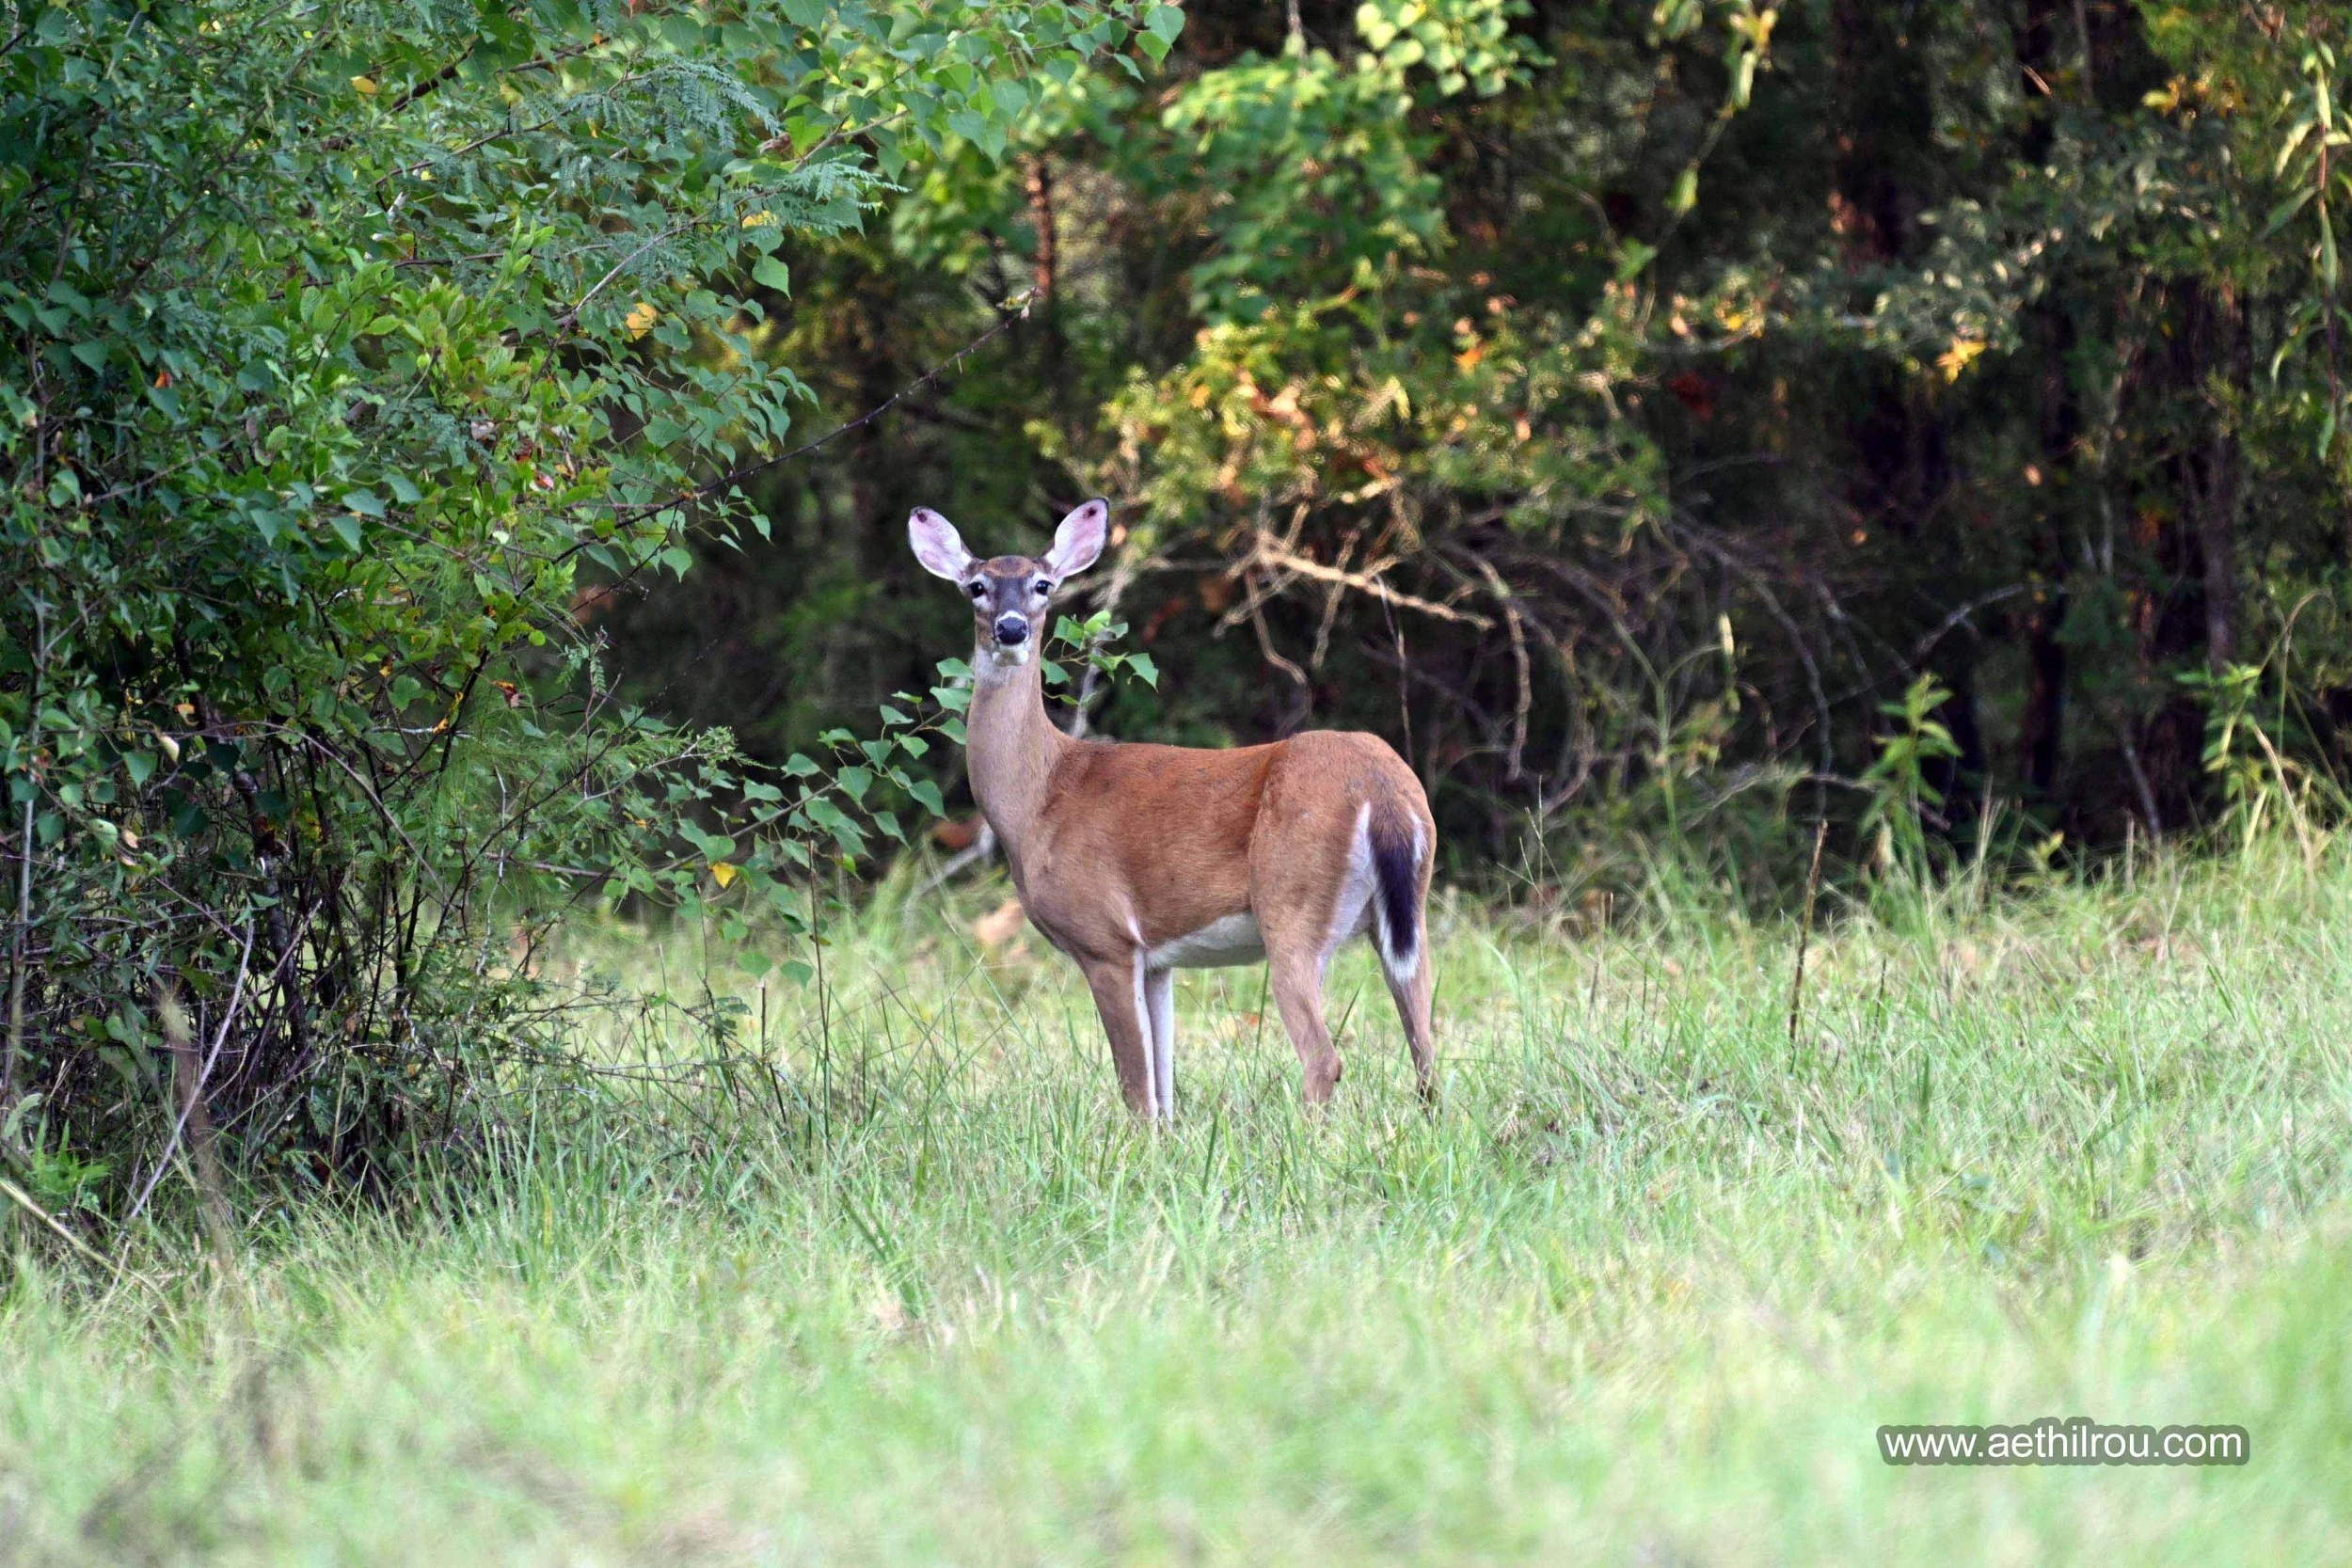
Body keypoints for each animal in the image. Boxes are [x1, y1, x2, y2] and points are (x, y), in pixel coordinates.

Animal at [909, 498, 1438, 1121]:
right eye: (976, 586)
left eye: (1043, 585)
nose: (1010, 628)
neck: (1039, 799)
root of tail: (1382, 790)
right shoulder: (1157, 958)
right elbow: (1164, 1086)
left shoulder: (1105, 937)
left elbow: (1136, 1086)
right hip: (1405, 917)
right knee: (1425, 1046)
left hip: (1292, 903)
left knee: (1324, 1057)